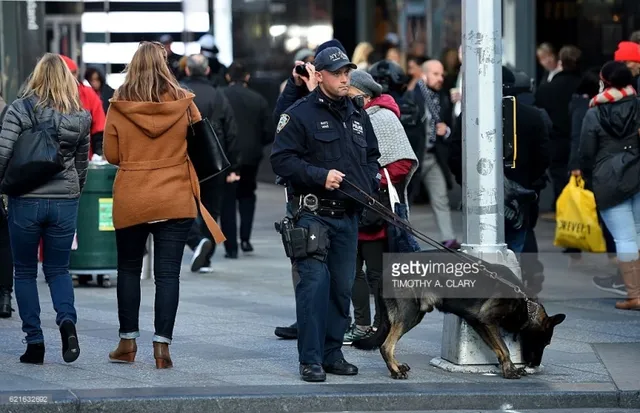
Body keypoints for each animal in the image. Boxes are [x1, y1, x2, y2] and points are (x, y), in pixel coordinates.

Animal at [352, 248, 568, 380]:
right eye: (545, 342)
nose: (535, 365)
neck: (525, 304)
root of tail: (386, 272)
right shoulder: (488, 320)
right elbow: (505, 348)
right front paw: (510, 370)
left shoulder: (480, 324)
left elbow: (498, 349)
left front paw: (508, 368)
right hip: (409, 314)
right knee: (386, 345)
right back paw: (395, 371)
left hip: (413, 315)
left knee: (387, 342)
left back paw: (396, 366)